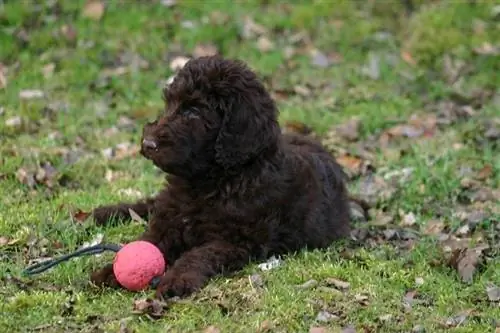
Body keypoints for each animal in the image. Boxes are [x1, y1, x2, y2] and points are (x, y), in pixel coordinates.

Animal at [90, 55, 350, 298]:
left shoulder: (235, 241)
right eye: (169, 104)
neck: (210, 181)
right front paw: (110, 272)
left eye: (193, 111)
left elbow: (200, 254)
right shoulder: (169, 222)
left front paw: (177, 279)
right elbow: (147, 242)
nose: (147, 143)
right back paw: (104, 212)